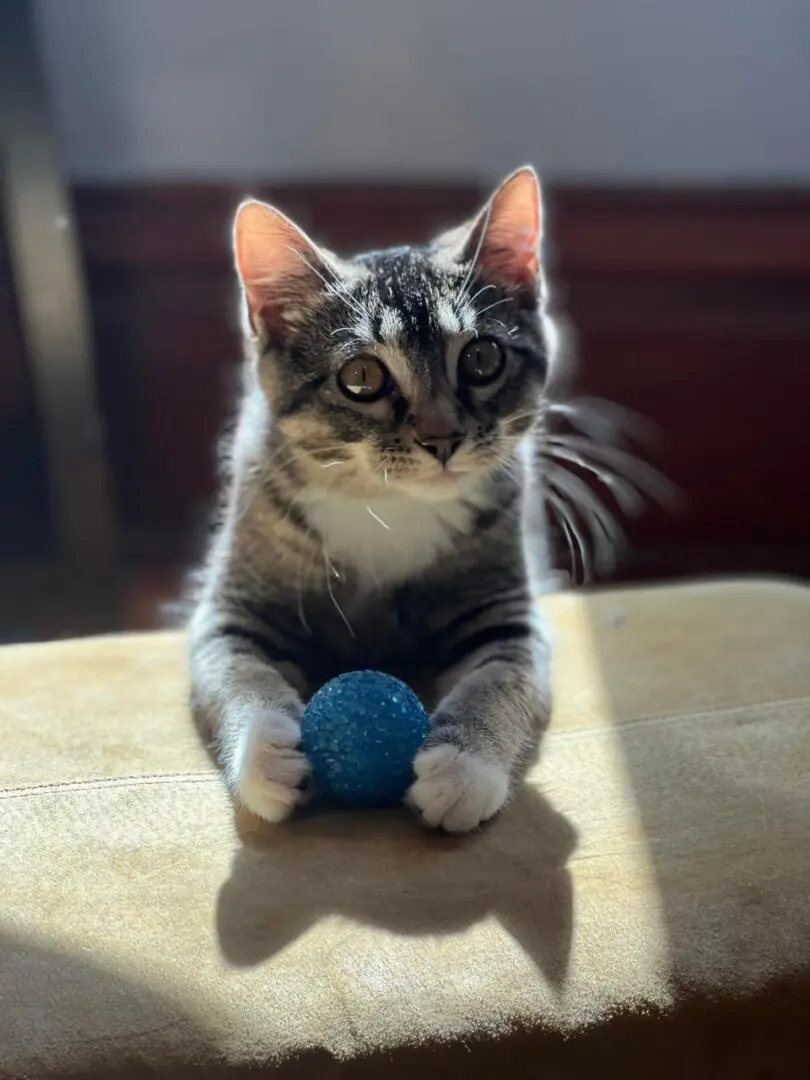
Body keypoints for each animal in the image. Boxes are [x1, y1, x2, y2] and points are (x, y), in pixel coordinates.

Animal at [189, 164, 557, 829]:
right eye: (361, 378)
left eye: (483, 358)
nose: (442, 438)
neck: (387, 505)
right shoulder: (232, 607)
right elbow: (235, 668)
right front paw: (266, 753)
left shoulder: (507, 611)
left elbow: (503, 677)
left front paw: (463, 768)